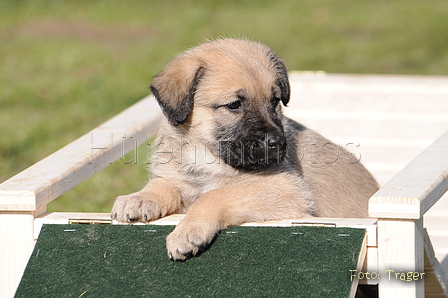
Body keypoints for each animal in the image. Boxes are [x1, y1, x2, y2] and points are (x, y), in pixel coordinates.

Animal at [111, 38, 378, 260]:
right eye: (234, 105)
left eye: (274, 101)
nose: (278, 143)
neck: (207, 158)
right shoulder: (178, 177)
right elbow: (163, 184)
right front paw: (139, 199)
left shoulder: (284, 190)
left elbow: (216, 195)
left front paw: (187, 231)